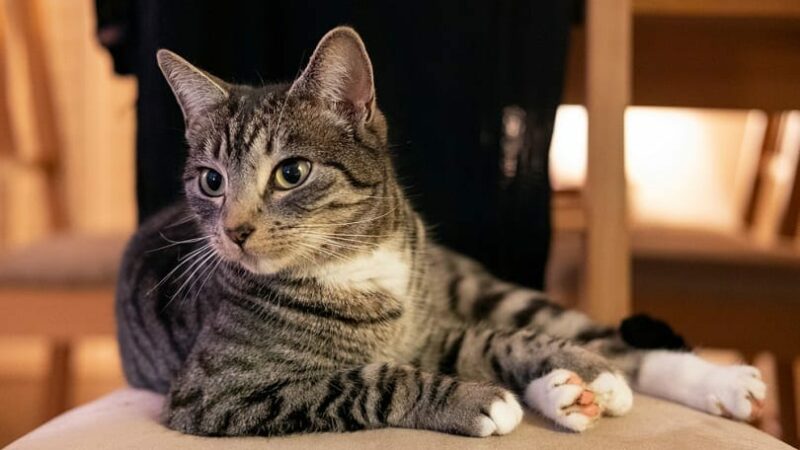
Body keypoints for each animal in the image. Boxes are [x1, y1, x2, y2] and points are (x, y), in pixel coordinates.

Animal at [115, 26, 764, 438]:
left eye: (290, 173)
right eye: (211, 181)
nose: (234, 231)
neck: (357, 264)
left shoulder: (432, 328)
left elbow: (495, 340)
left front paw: (586, 368)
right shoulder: (216, 394)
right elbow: (362, 378)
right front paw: (478, 400)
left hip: (480, 286)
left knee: (607, 339)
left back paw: (707, 381)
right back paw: (563, 393)